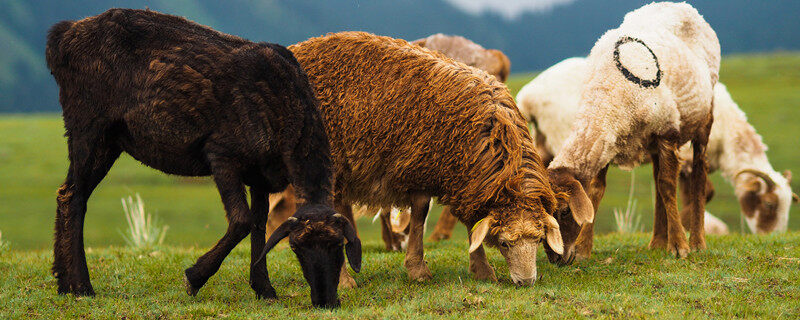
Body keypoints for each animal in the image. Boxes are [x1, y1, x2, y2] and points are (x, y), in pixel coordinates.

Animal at [282, 31, 568, 288]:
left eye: (538, 239)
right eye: (505, 243)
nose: (526, 282)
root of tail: (297, 47)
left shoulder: (452, 175)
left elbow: (456, 220)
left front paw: (478, 270)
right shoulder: (424, 167)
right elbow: (422, 216)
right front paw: (422, 268)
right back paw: (342, 281)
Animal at [544, 1, 720, 262]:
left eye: (565, 211)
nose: (556, 259)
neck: (605, 93)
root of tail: (682, 5)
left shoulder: (667, 131)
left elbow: (669, 187)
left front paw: (679, 246)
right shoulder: (607, 138)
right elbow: (596, 190)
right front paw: (584, 248)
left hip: (703, 119)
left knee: (698, 173)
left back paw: (697, 242)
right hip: (653, 140)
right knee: (657, 181)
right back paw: (657, 241)